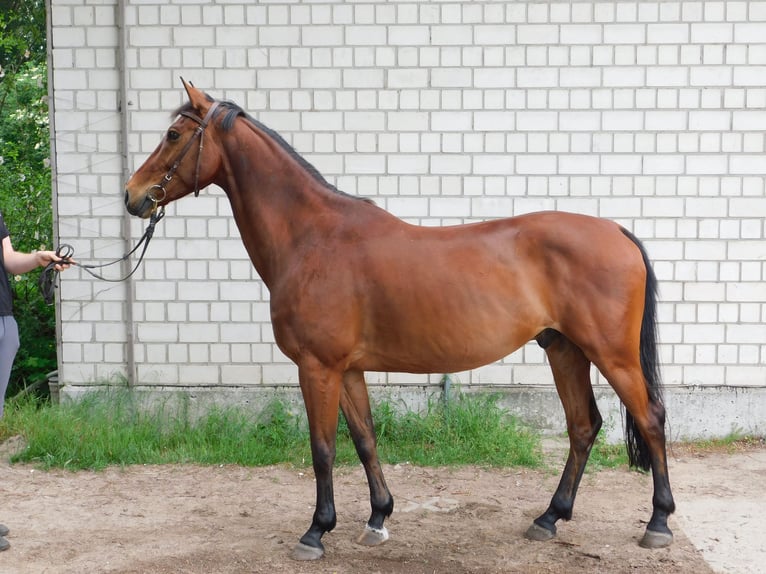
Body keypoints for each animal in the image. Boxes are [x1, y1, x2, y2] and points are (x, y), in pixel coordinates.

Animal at [124, 81, 680, 564]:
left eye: (172, 135)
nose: (133, 196)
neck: (312, 237)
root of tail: (617, 231)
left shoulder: (317, 367)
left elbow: (323, 449)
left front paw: (315, 532)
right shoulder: (347, 369)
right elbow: (364, 439)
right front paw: (377, 519)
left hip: (610, 354)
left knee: (650, 419)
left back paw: (658, 523)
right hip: (563, 348)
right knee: (583, 425)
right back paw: (549, 518)